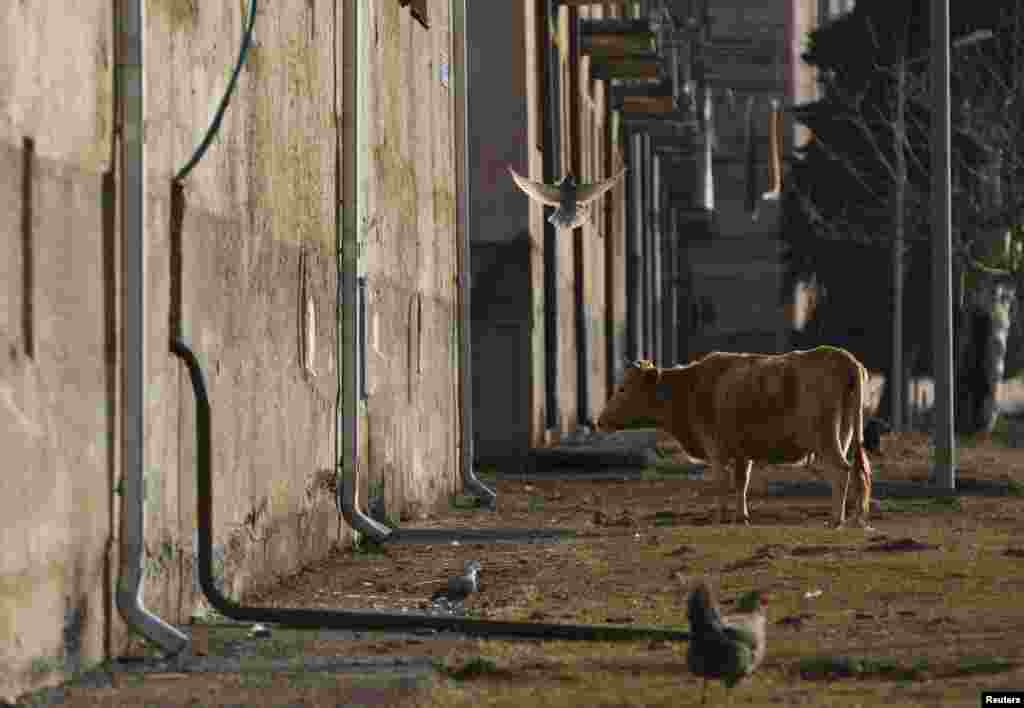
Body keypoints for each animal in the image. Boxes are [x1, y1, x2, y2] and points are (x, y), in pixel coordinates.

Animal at [598, 346, 872, 528]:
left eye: (622, 388)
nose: (600, 420)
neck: (690, 387)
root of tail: (844, 359)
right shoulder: (742, 452)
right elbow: (741, 483)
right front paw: (742, 517)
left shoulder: (715, 448)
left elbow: (721, 481)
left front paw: (720, 517)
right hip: (845, 435)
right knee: (854, 471)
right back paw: (852, 517)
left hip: (825, 438)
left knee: (841, 471)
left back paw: (836, 520)